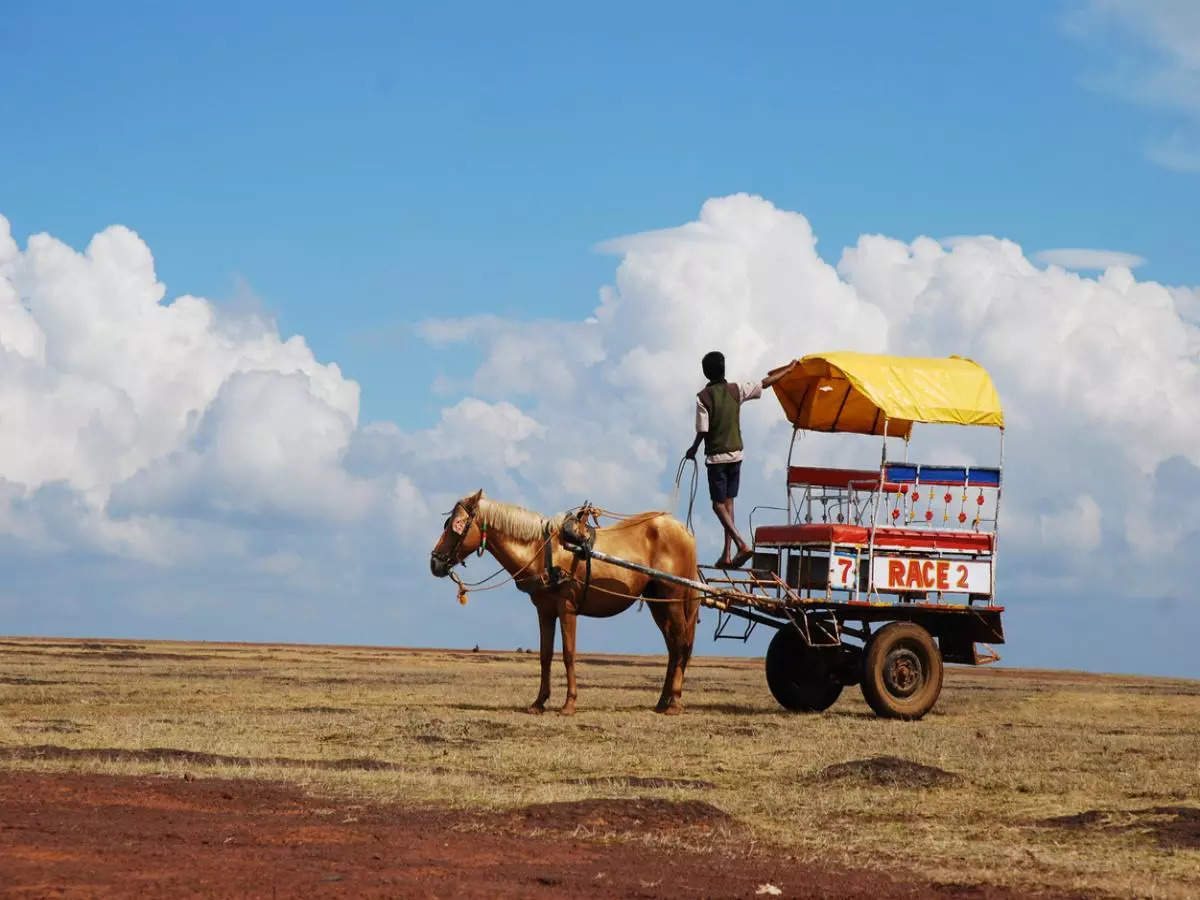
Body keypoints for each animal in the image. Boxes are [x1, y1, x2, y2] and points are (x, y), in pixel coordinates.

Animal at [432, 494, 700, 720]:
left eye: (457, 525)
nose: (434, 562)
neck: (541, 552)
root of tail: (683, 531)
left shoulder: (566, 608)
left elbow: (569, 654)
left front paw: (569, 703)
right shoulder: (544, 610)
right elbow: (545, 655)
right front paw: (539, 702)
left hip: (673, 599)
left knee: (681, 644)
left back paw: (675, 702)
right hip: (658, 603)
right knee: (673, 648)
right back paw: (663, 701)